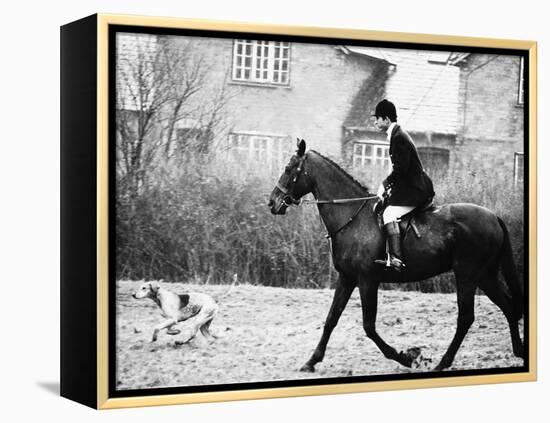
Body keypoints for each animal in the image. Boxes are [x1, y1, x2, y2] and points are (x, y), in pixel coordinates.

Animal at [268, 140, 528, 374]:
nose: (272, 203)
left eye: (288, 169)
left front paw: (407, 357)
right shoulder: (347, 278)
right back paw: (519, 350)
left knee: (466, 317)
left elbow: (369, 326)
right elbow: (331, 319)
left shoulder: (367, 280)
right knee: (507, 306)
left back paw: (443, 363)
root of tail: (494, 217)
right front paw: (311, 361)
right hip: (485, 275)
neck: (352, 217)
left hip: (467, 274)